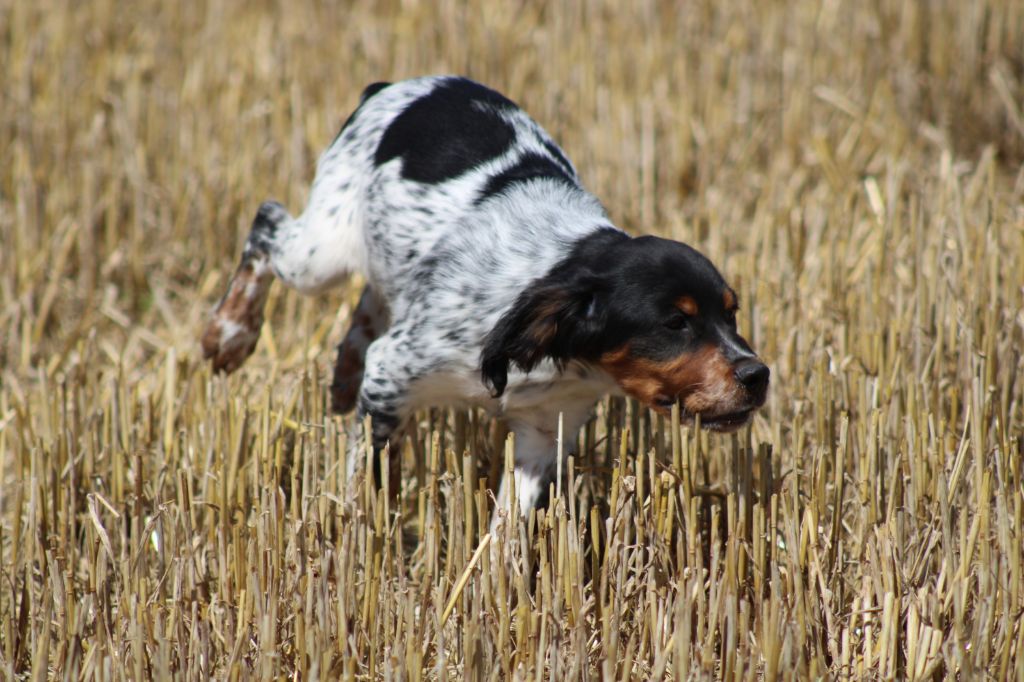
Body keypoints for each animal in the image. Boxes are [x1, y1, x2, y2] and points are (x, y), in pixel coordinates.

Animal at [197, 74, 770, 520]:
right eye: (675, 322)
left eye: (732, 313)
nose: (757, 375)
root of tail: (392, 86)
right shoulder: (393, 374)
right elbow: (373, 471)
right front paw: (363, 530)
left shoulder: (545, 429)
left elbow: (508, 527)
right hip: (323, 250)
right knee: (267, 222)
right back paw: (229, 335)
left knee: (368, 303)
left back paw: (341, 372)